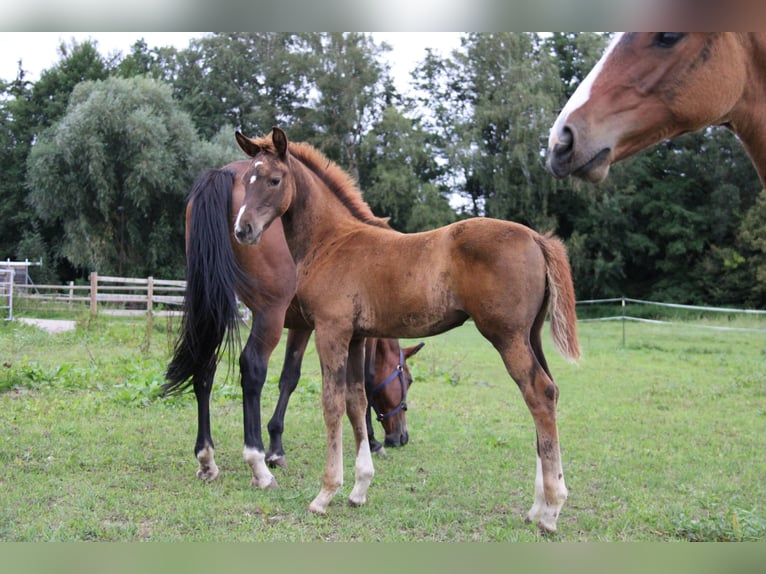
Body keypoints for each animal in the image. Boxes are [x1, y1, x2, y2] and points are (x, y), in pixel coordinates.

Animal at [166, 161, 426, 490]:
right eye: (408, 379)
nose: (400, 437)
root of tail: (227, 172)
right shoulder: (344, 332)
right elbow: (361, 381)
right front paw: (371, 440)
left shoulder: (302, 326)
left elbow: (289, 378)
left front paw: (276, 445)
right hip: (268, 314)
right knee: (252, 368)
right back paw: (257, 466)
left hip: (212, 307)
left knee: (204, 369)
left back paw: (206, 458)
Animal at [234, 128, 584, 532]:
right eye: (246, 180)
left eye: (274, 180)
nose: (242, 229)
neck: (331, 240)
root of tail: (537, 238)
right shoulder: (356, 336)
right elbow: (356, 402)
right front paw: (358, 490)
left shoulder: (330, 331)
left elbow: (332, 403)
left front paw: (325, 494)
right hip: (532, 336)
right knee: (551, 392)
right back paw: (539, 506)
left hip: (507, 337)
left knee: (539, 394)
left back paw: (551, 511)